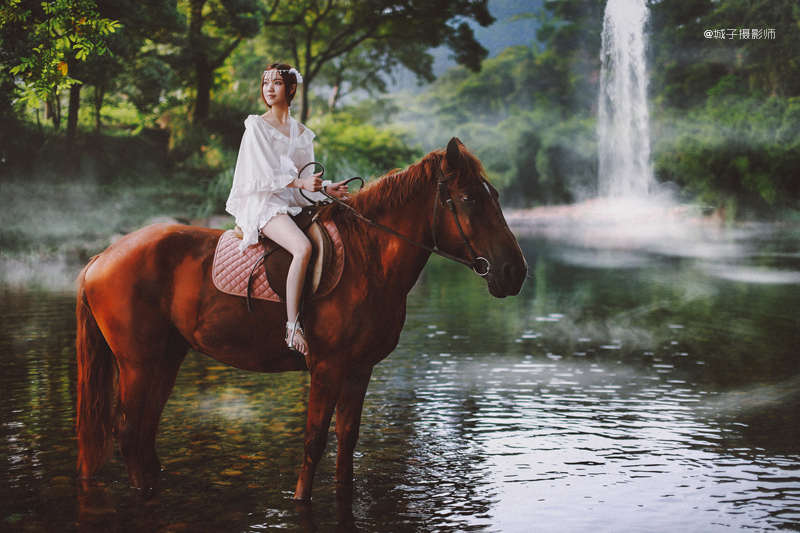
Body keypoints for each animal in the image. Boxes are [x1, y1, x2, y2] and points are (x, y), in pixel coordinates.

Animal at [75, 136, 524, 498]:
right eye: (468, 198)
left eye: (496, 194)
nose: (514, 272)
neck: (368, 260)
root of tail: (102, 257)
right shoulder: (327, 369)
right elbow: (314, 441)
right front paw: (300, 499)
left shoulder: (359, 370)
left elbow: (347, 440)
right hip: (136, 362)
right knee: (128, 432)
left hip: (167, 357)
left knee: (145, 432)